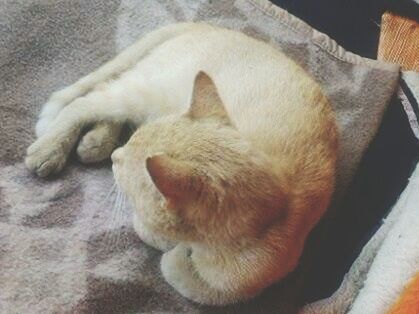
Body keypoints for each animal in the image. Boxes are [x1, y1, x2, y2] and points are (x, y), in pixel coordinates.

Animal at [24, 22, 340, 304]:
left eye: (125, 168)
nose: (117, 156)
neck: (276, 210)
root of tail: (208, 25)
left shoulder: (248, 284)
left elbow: (201, 287)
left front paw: (175, 253)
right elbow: (168, 256)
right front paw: (171, 249)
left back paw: (96, 142)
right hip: (141, 91)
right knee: (88, 100)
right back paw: (50, 148)